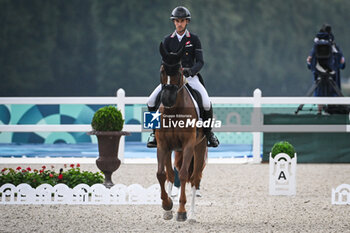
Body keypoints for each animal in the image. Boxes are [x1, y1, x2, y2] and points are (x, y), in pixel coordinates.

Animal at [156, 42, 208, 223]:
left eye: (179, 71)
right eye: (162, 70)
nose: (167, 99)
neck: (174, 111)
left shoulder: (188, 145)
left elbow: (185, 175)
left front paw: (181, 211)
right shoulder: (162, 145)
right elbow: (162, 174)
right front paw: (167, 206)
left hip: (199, 148)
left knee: (195, 179)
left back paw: (192, 215)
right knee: (171, 175)